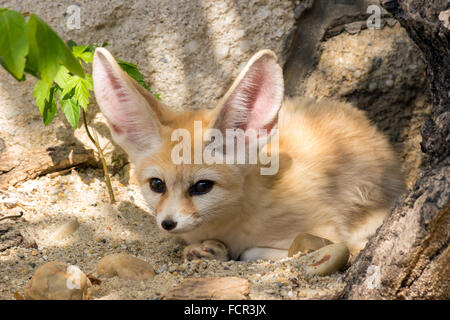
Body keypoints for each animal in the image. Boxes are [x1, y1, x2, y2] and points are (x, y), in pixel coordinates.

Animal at [92, 48, 404, 262]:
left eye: (202, 186)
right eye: (157, 185)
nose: (168, 223)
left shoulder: (327, 233)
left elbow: (252, 253)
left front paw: (226, 251)